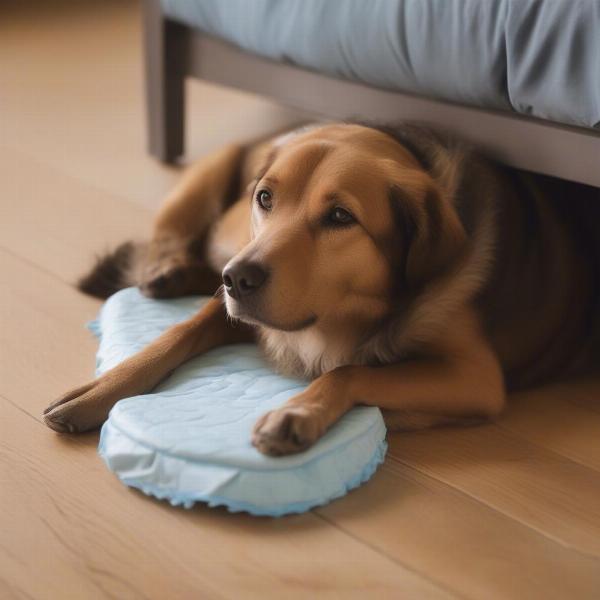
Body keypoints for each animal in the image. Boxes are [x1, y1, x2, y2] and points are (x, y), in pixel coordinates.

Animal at [43, 124, 600, 458]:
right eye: (265, 198)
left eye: (340, 217)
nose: (238, 279)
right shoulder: (235, 300)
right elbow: (178, 332)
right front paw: (100, 389)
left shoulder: (475, 377)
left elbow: (350, 369)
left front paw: (297, 412)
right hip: (213, 186)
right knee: (174, 234)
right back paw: (168, 270)